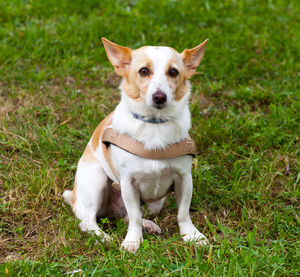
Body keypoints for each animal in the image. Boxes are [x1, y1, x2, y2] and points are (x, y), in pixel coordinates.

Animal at [63, 37, 209, 252]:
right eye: (143, 71)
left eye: (173, 72)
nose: (159, 97)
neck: (155, 124)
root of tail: (73, 196)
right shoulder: (128, 183)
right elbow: (134, 217)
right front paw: (133, 241)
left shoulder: (184, 178)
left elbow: (183, 213)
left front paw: (192, 236)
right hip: (96, 181)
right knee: (88, 220)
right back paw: (103, 237)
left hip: (155, 203)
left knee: (128, 217)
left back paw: (148, 225)